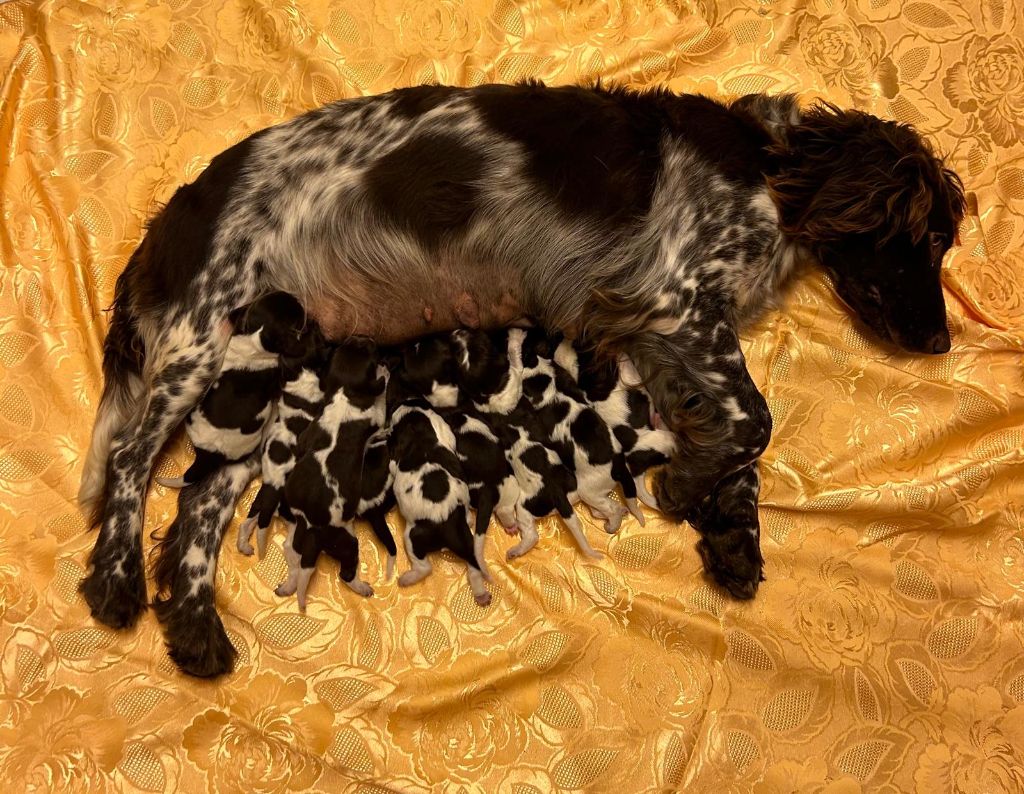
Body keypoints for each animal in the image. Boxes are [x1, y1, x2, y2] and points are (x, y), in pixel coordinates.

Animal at [278, 338, 389, 610]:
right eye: (370, 352)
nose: (367, 338)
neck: (344, 394)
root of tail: (311, 528)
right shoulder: (376, 415)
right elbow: (381, 400)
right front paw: (385, 373)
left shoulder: (307, 436)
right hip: (348, 542)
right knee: (346, 574)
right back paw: (362, 587)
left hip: (296, 536)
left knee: (295, 561)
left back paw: (288, 585)